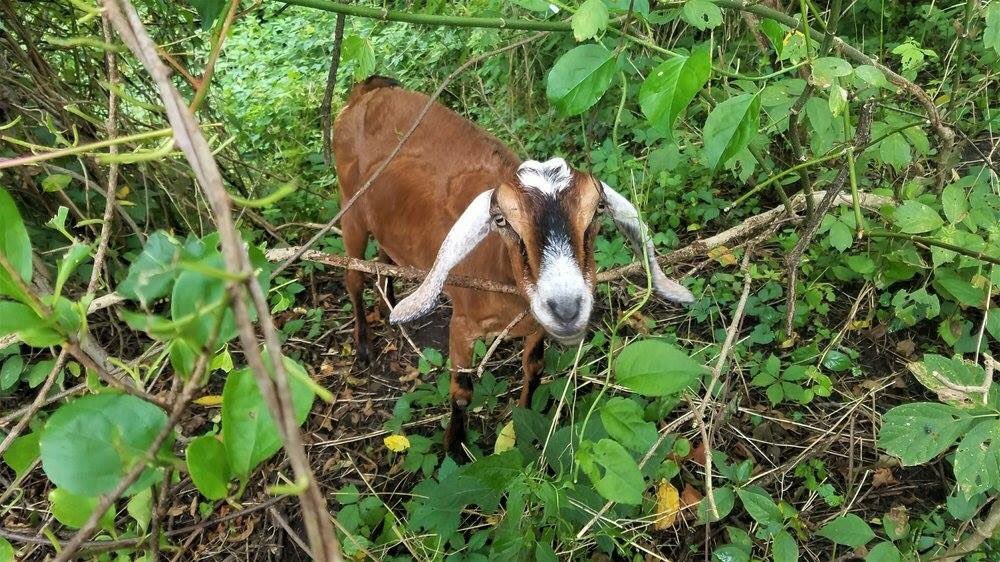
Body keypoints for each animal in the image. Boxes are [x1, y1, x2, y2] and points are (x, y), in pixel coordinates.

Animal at [333, 76, 694, 455]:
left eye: (597, 210)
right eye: (501, 219)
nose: (566, 309)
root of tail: (369, 89)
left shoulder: (536, 327)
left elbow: (533, 369)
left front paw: (521, 432)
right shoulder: (462, 325)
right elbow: (461, 391)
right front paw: (455, 448)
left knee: (384, 257)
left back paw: (390, 307)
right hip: (350, 211)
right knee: (353, 277)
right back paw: (364, 347)